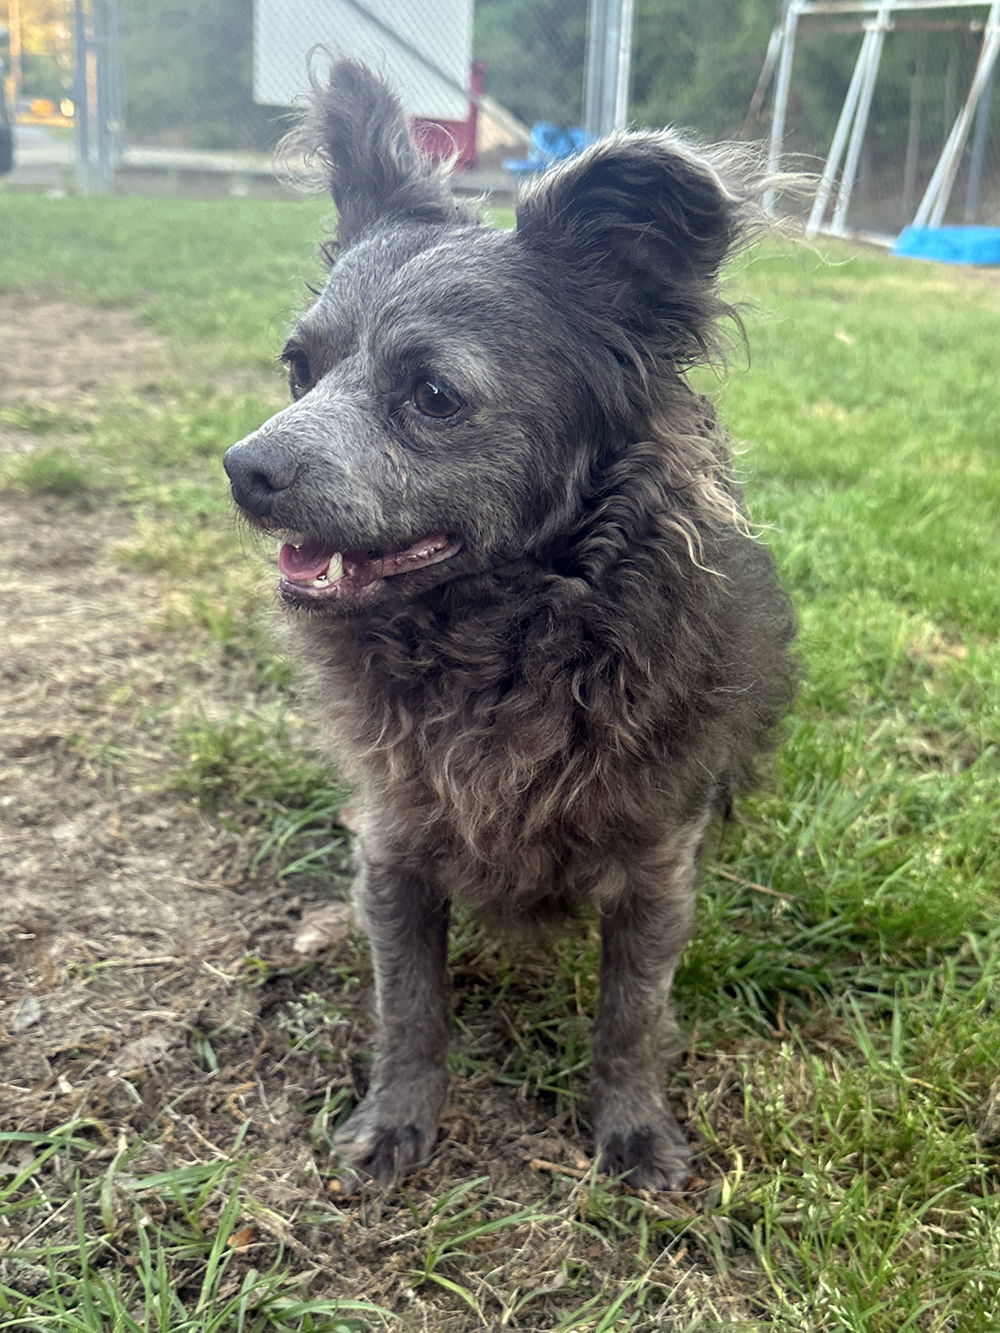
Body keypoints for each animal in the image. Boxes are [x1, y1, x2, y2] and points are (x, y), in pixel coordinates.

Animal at [225, 59, 800, 1189]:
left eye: (434, 395)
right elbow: (408, 1005)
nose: (243, 468)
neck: (504, 644)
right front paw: (397, 1118)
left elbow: (630, 1020)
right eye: (297, 368)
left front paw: (633, 1129)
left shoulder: (654, 874)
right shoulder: (397, 851)